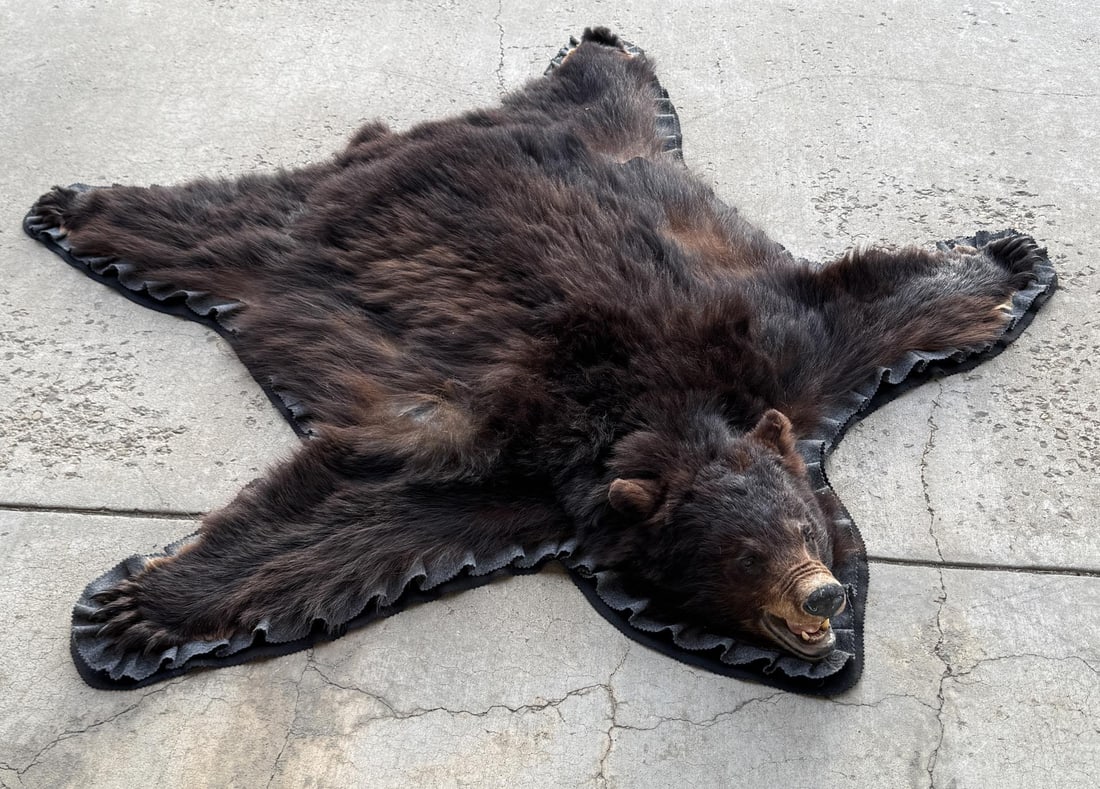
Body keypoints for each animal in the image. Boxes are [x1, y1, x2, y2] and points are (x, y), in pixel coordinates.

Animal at [30, 28, 1046, 670]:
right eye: (744, 556)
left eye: (801, 529)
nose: (824, 597)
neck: (659, 406)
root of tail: (394, 142)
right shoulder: (508, 467)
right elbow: (345, 516)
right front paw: (135, 607)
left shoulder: (786, 352)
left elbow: (876, 302)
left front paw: (1008, 260)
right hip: (278, 243)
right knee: (207, 227)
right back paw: (76, 209)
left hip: (604, 140)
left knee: (608, 95)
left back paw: (599, 51)